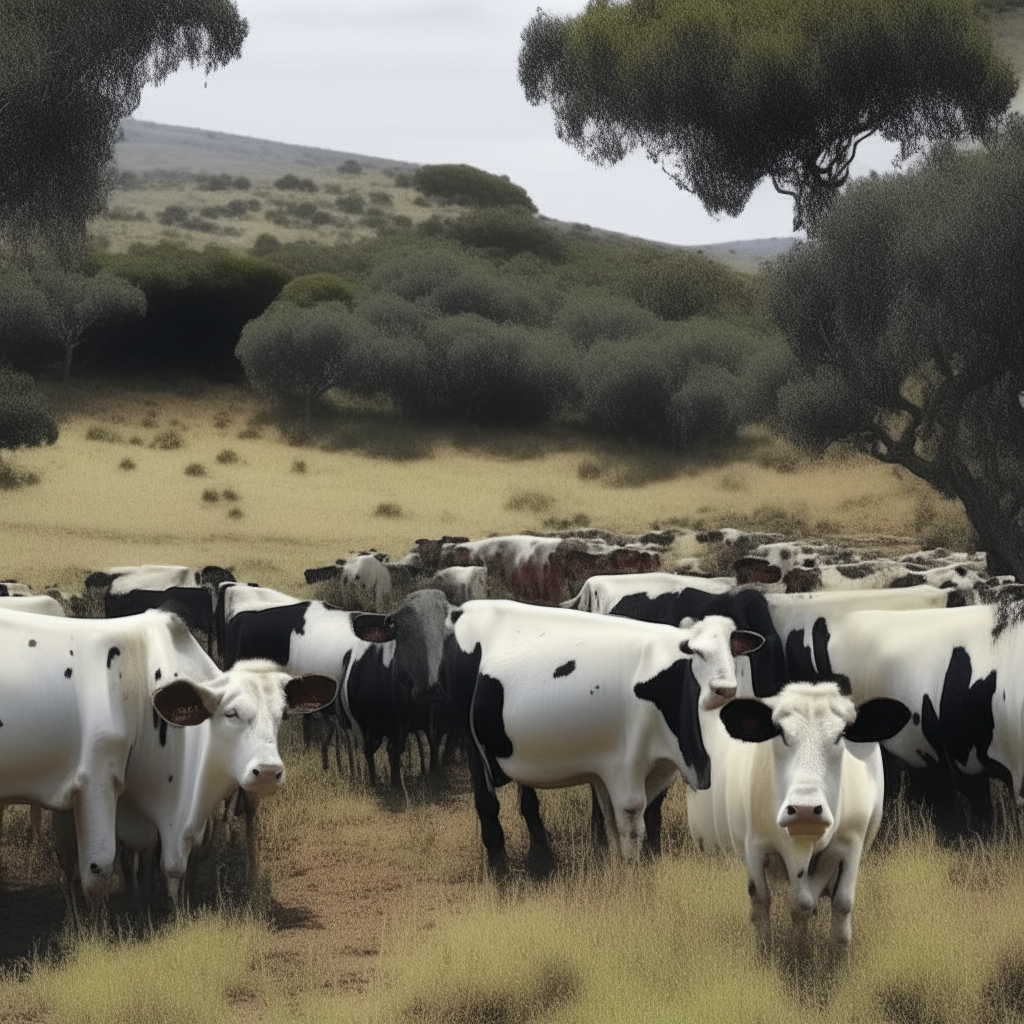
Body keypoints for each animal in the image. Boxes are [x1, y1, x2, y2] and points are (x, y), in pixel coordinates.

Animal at [444, 602, 765, 876]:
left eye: (731, 651)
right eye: (696, 653)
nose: (724, 687)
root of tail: (465, 609)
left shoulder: (651, 767)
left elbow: (636, 817)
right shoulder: (625, 767)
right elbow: (631, 823)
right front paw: (633, 879)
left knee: (528, 799)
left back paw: (542, 860)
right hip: (471, 739)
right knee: (487, 803)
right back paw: (500, 872)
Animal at [692, 684, 909, 946]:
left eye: (841, 735)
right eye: (781, 733)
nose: (805, 809)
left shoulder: (851, 842)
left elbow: (840, 903)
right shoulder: (755, 845)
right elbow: (763, 899)